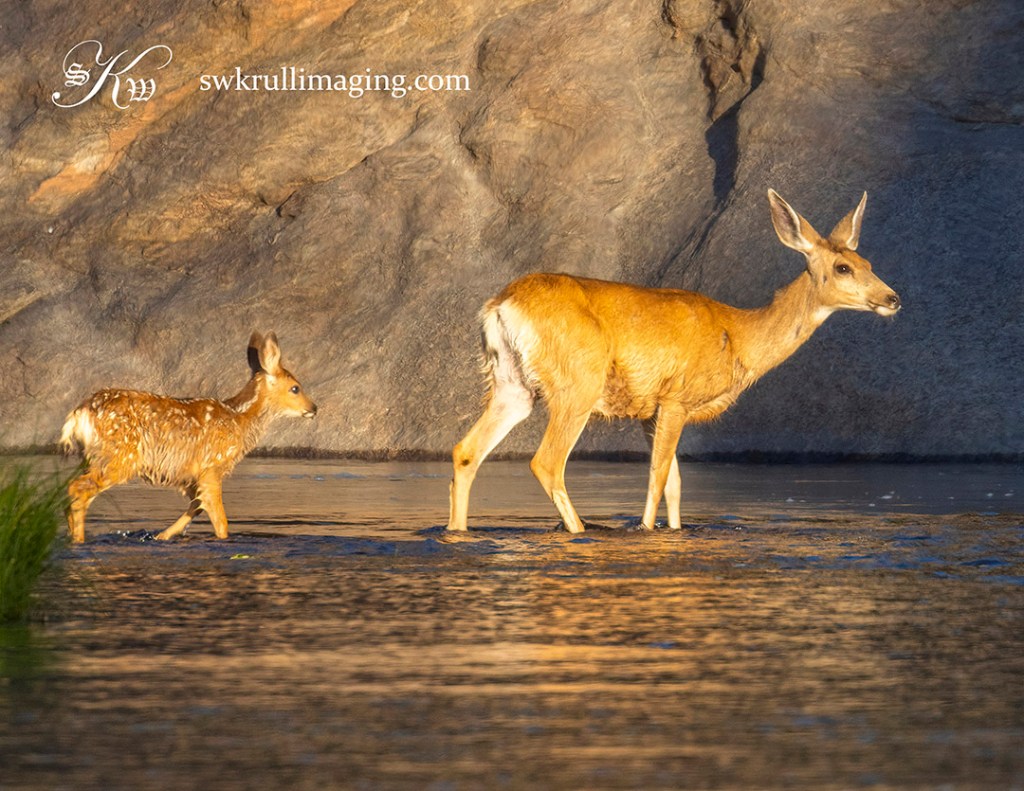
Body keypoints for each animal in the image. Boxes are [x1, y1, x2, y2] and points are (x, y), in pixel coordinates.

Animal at [61, 331, 317, 542]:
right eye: (295, 388)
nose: (314, 408)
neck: (239, 420)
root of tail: (79, 414)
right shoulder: (211, 468)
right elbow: (221, 521)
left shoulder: (190, 478)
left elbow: (196, 507)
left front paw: (162, 536)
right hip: (119, 457)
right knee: (78, 489)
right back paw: (79, 540)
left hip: (93, 457)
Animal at [448, 189, 901, 533]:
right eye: (842, 268)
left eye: (868, 263)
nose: (893, 298)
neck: (738, 337)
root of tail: (500, 305)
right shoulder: (676, 399)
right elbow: (659, 478)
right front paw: (647, 531)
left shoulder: (650, 411)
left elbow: (675, 485)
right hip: (577, 382)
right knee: (546, 462)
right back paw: (576, 531)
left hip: (512, 384)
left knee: (466, 451)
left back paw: (458, 530)